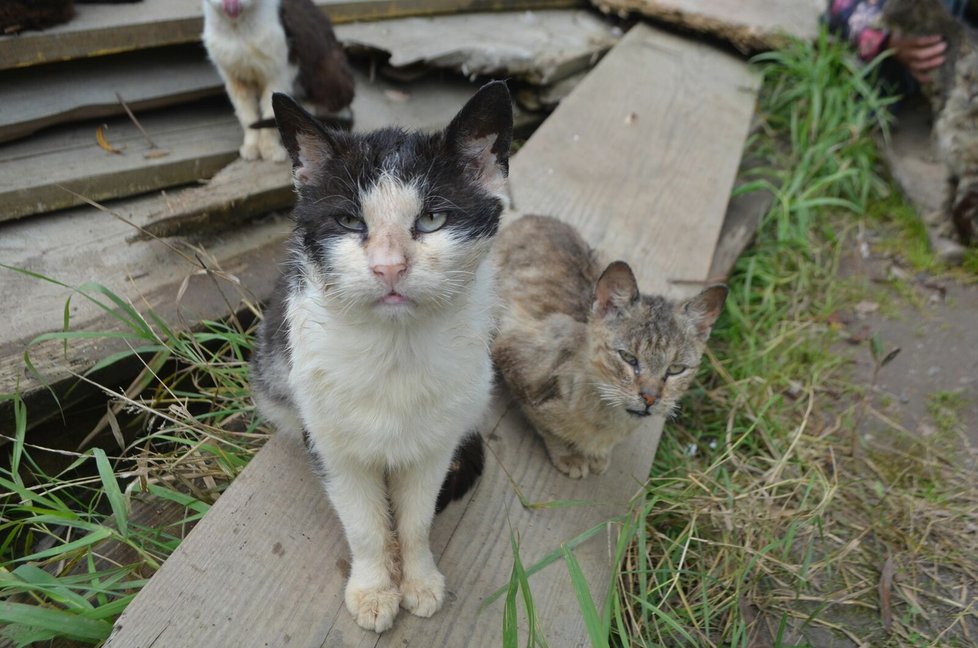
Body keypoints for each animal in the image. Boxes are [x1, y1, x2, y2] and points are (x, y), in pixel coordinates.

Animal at [200, 0, 352, 161]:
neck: (238, 30)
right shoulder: (234, 79)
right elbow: (247, 115)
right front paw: (251, 146)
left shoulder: (281, 72)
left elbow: (271, 111)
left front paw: (270, 148)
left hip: (328, 66)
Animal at [248, 82, 516, 632]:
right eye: (350, 220)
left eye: (433, 218)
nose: (388, 267)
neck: (396, 348)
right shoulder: (330, 440)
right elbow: (365, 524)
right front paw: (374, 590)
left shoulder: (436, 443)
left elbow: (415, 519)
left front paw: (419, 581)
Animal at [488, 215, 724, 478]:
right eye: (628, 358)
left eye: (675, 369)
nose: (650, 398)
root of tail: (533, 218)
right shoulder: (516, 360)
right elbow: (546, 425)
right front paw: (568, 454)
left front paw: (598, 455)